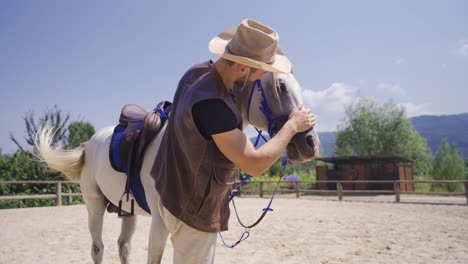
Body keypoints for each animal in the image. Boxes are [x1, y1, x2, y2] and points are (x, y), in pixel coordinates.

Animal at [35, 71, 318, 262]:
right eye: (281, 86)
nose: (310, 144)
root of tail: (89, 143)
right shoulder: (161, 222)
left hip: (127, 210)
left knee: (123, 246)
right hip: (94, 206)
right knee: (98, 248)